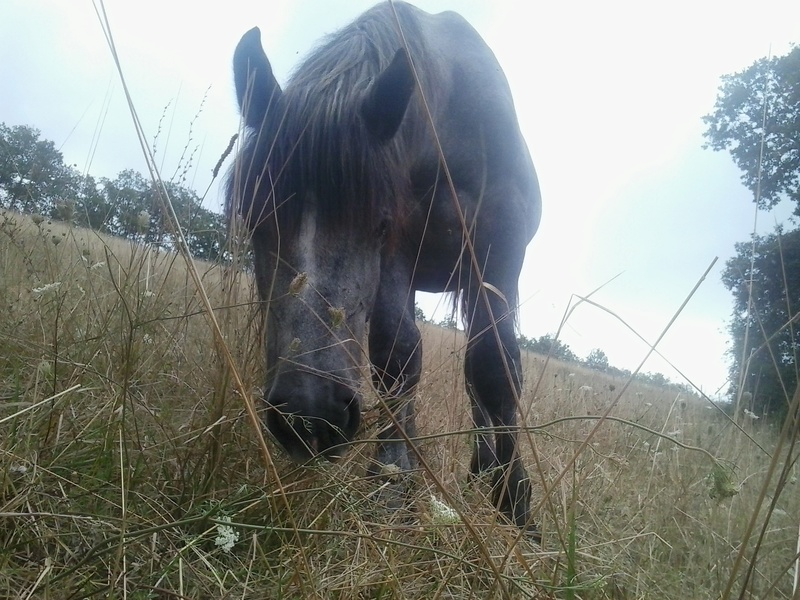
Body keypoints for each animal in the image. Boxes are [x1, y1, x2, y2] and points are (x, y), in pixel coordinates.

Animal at [227, 0, 544, 528]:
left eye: (377, 222)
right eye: (254, 218)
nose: (309, 414)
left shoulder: (499, 248)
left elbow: (495, 369)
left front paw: (514, 503)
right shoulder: (399, 255)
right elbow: (397, 353)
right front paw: (393, 483)